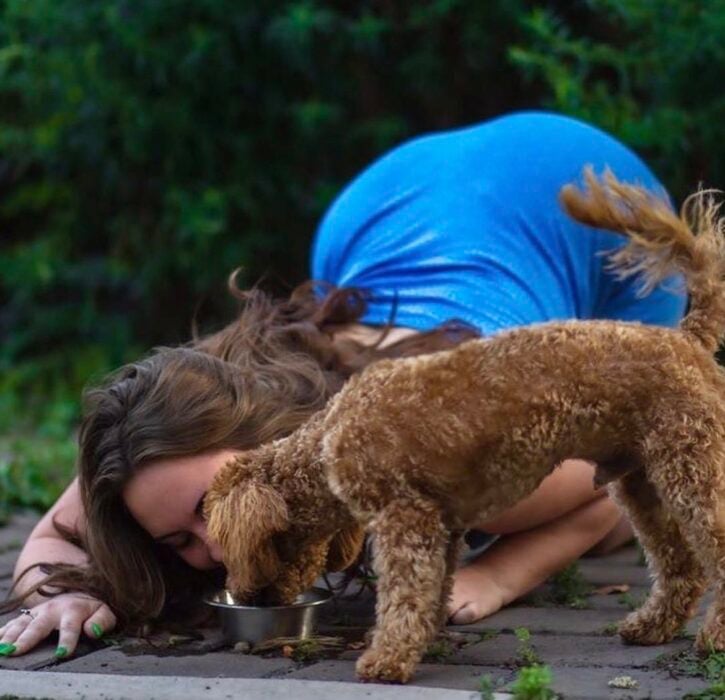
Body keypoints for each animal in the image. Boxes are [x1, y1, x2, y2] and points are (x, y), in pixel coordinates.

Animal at [202, 171, 724, 684]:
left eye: (240, 550)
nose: (249, 598)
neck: (327, 438)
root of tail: (687, 338)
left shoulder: (404, 518)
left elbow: (405, 595)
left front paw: (387, 659)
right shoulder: (445, 525)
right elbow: (433, 593)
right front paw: (425, 641)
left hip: (692, 469)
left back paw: (713, 638)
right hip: (642, 481)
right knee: (681, 564)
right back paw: (653, 625)